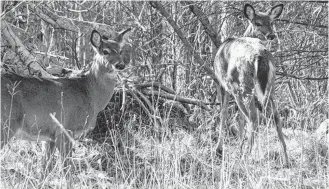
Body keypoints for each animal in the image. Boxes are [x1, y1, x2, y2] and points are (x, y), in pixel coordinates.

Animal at [1, 27, 132, 173]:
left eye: (120, 51)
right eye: (105, 51)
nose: (120, 65)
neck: (91, 96)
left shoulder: (49, 137)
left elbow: (44, 169)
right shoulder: (66, 129)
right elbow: (66, 168)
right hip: (6, 123)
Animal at [213, 3, 288, 167]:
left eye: (271, 22)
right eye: (258, 23)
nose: (271, 35)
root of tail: (261, 56)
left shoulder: (222, 84)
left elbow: (224, 113)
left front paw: (220, 150)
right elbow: (240, 117)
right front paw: (240, 146)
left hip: (242, 85)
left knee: (253, 118)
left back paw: (245, 157)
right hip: (270, 86)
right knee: (275, 116)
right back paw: (285, 159)